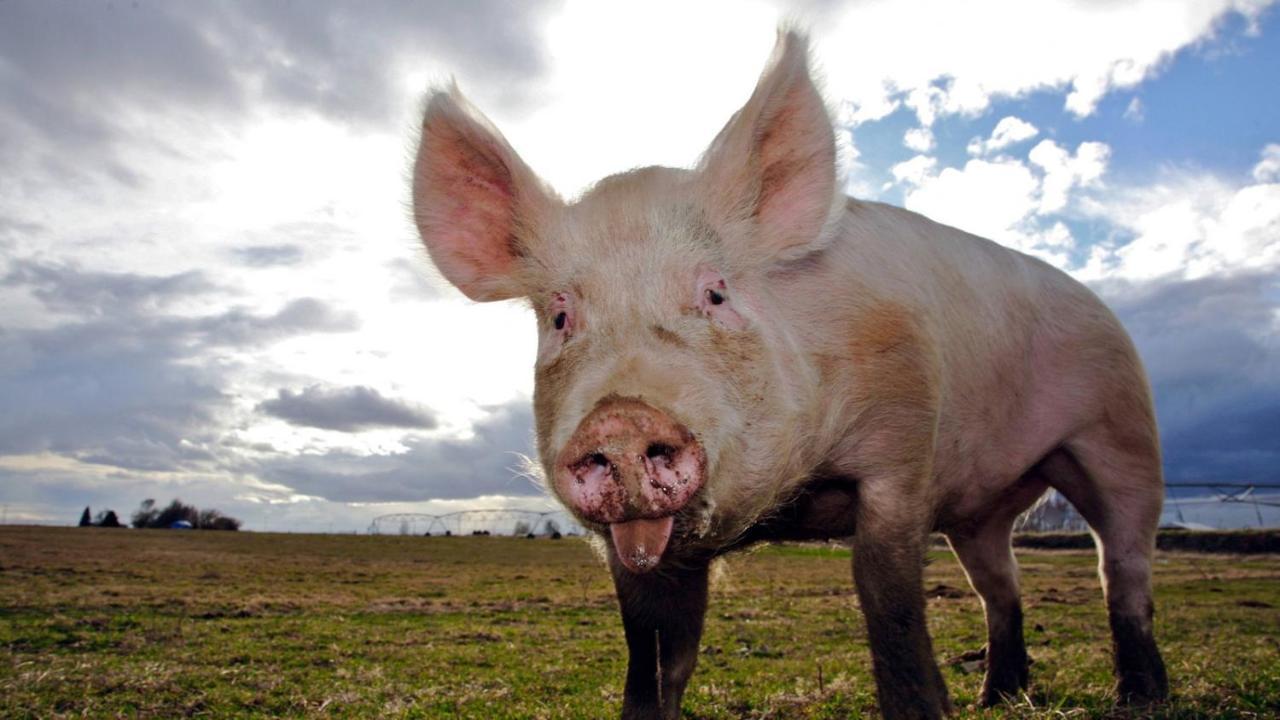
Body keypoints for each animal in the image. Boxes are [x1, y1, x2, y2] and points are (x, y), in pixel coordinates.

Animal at [409, 29, 1172, 717]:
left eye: (716, 293)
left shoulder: (903, 449)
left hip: (1121, 430)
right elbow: (655, 657)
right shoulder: (634, 547)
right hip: (983, 508)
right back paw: (998, 697)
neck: (791, 499)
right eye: (561, 316)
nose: (620, 418)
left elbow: (891, 610)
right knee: (1000, 582)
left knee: (1121, 563)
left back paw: (1139, 696)